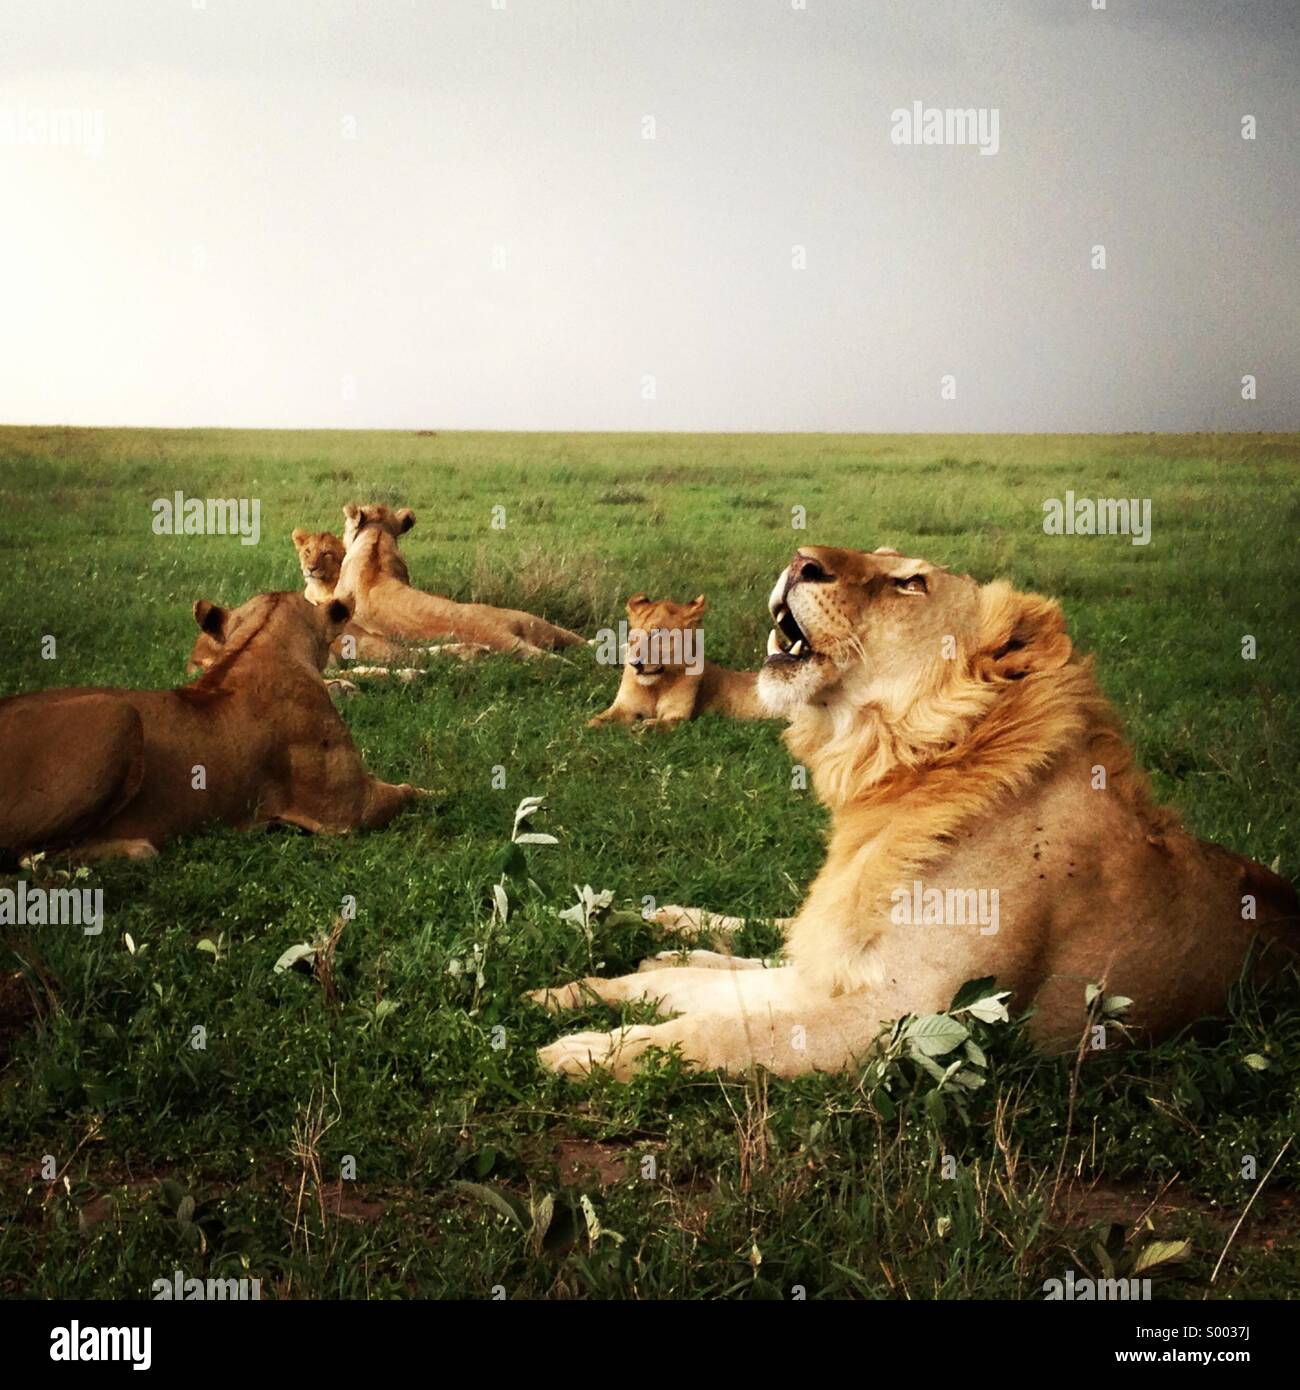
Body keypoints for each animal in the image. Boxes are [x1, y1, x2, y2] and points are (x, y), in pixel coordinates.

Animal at [2, 594, 419, 861]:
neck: (261, 643)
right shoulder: (351, 809)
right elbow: (414, 793)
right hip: (117, 712)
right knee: (30, 859)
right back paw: (136, 848)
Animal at [592, 594, 773, 728]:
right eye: (633, 637)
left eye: (657, 635)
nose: (635, 664)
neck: (656, 686)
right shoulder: (623, 707)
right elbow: (596, 720)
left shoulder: (679, 716)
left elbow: (660, 725)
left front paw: (642, 726)